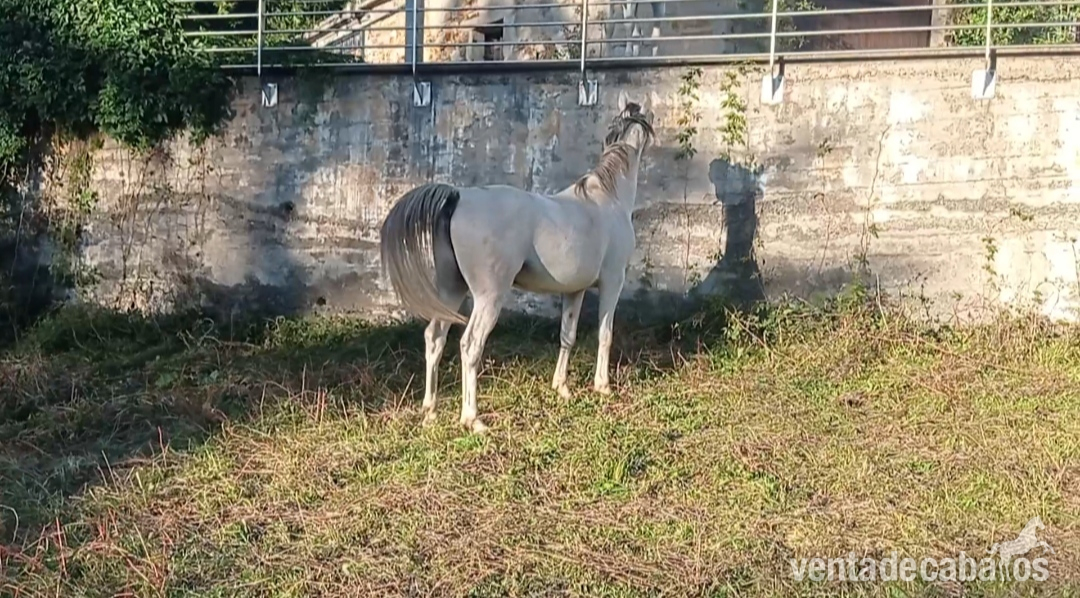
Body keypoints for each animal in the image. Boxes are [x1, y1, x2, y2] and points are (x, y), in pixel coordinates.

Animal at [378, 93, 655, 434]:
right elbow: (606, 333)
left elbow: (568, 335)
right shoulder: (612, 282)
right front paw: (602, 386)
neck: (606, 199)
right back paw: (473, 419)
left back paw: (430, 411)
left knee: (435, 338)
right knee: (470, 345)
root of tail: (457, 196)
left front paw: (562, 387)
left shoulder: (574, 291)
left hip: (450, 293)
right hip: (488, 298)